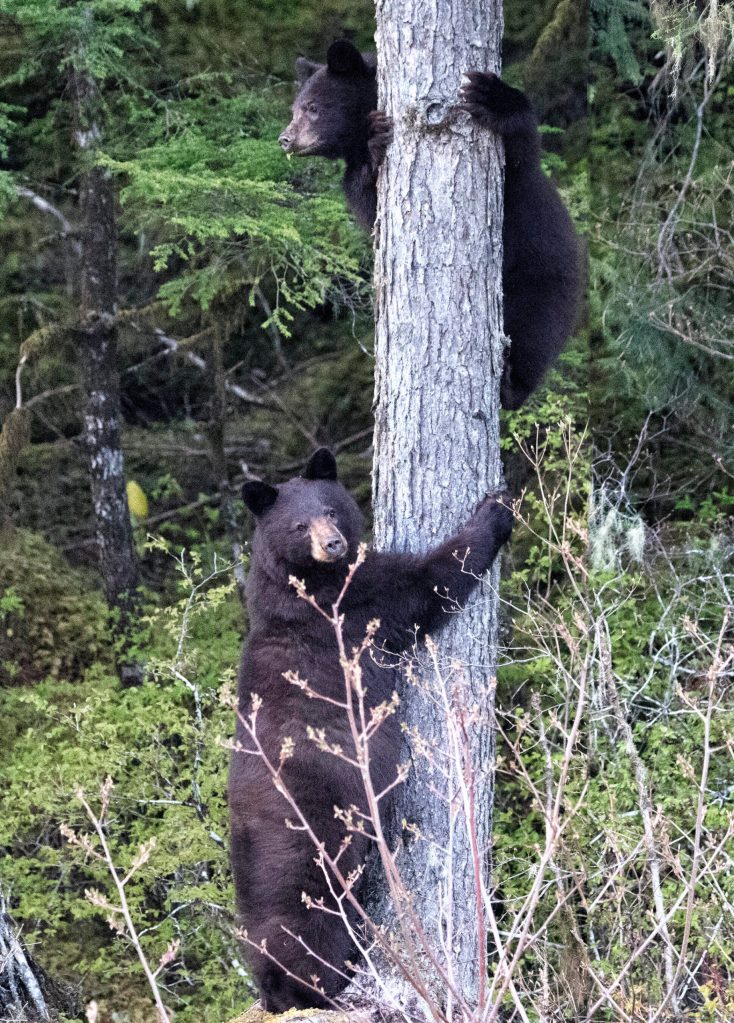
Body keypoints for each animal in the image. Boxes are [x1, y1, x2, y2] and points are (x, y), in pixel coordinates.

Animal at [228, 447, 513, 1011]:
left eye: (331, 510)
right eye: (299, 525)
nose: (333, 544)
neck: (304, 582)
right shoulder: (361, 601)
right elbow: (427, 582)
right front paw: (494, 512)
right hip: (311, 840)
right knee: (310, 918)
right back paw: (318, 984)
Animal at [278, 40, 583, 411]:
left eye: (312, 108)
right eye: (295, 108)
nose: (285, 138)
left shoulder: (521, 182)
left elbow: (522, 150)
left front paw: (489, 95)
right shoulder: (357, 182)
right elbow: (368, 204)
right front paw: (375, 142)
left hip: (543, 281)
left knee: (535, 334)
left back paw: (511, 385)